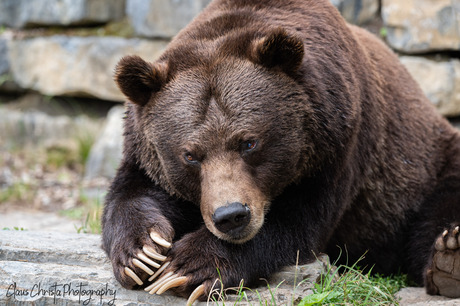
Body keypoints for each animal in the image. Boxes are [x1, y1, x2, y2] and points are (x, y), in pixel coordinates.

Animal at [102, 0, 460, 302]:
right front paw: (142, 253)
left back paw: (449, 259)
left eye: (249, 142)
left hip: (425, 169)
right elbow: (132, 194)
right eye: (190, 155)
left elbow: (295, 222)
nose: (231, 216)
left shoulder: (340, 144)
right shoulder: (143, 151)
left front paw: (188, 266)